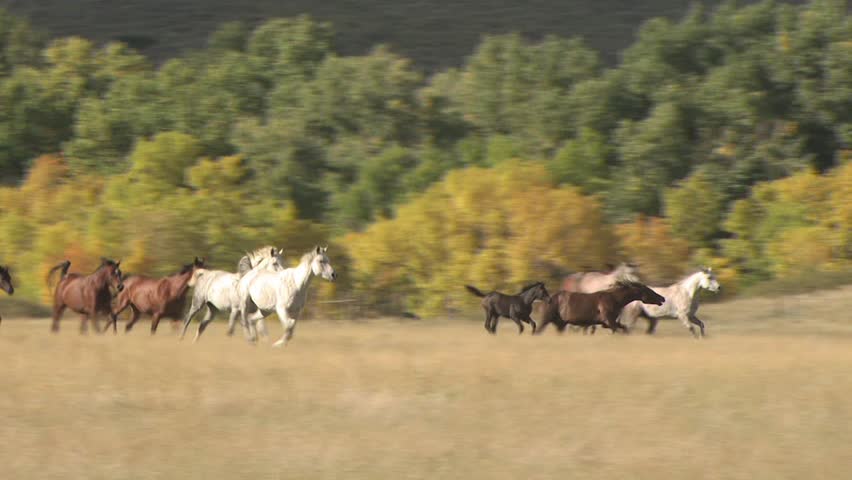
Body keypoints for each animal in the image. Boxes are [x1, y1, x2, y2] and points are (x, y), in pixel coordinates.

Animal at [534, 281, 665, 335]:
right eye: (648, 290)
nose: (662, 298)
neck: (615, 299)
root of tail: (545, 300)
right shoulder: (608, 321)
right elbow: (617, 331)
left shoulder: (606, 323)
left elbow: (624, 328)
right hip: (546, 320)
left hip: (560, 323)